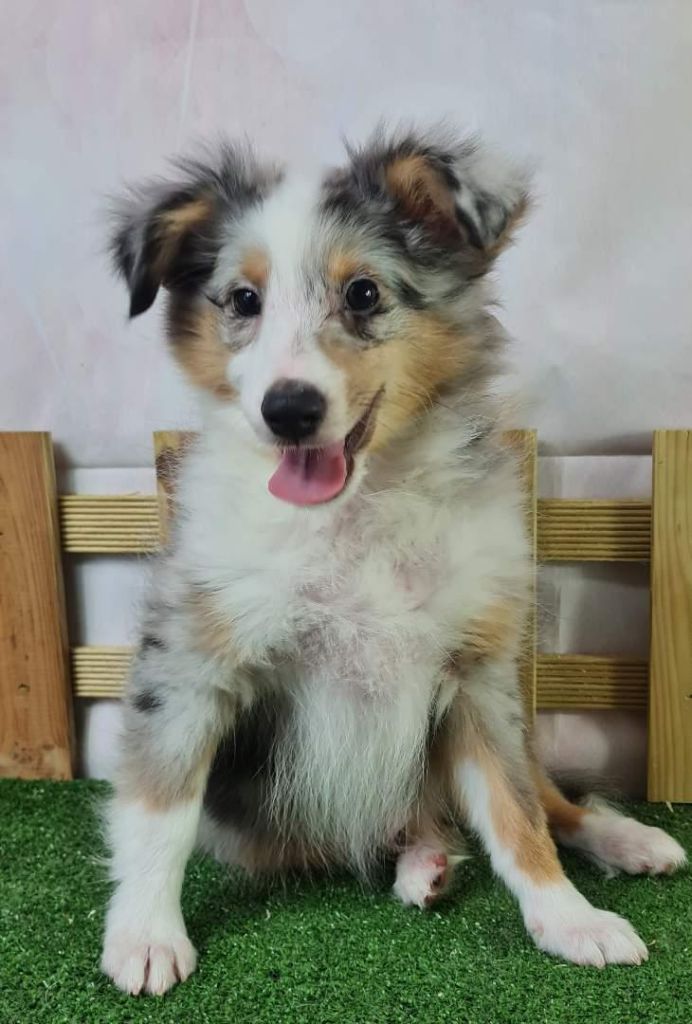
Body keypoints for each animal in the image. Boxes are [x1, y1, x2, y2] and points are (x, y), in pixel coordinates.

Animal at [102, 125, 686, 995]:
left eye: (364, 294)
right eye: (243, 301)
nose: (289, 410)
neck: (358, 509)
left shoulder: (476, 674)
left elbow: (518, 816)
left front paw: (570, 919)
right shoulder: (191, 660)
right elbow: (161, 807)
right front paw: (144, 935)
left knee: (551, 799)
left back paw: (629, 841)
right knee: (422, 821)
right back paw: (426, 863)